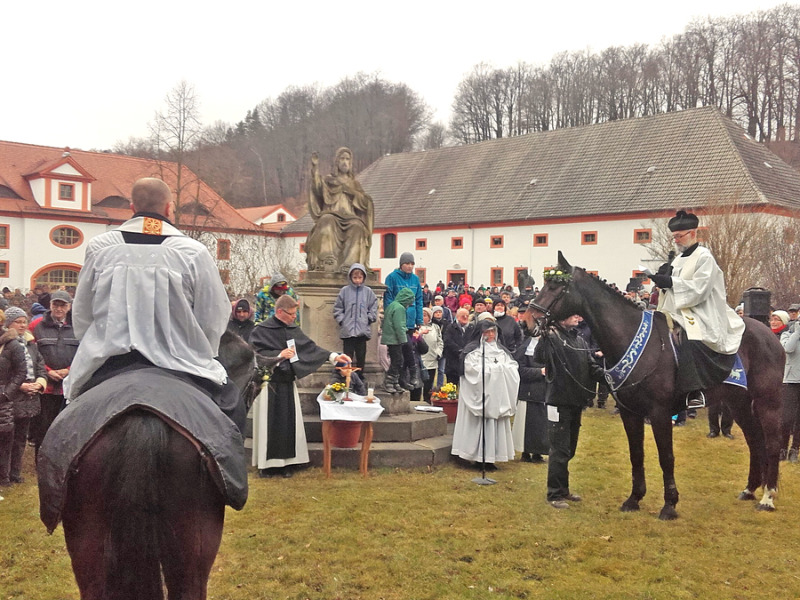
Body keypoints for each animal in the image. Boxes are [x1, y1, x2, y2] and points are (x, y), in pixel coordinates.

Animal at [528, 251, 784, 516]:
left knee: (772, 442)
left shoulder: (660, 412)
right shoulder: (630, 412)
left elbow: (666, 457)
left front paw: (669, 505)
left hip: (767, 400)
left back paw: (768, 496)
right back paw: (750, 489)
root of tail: (768, 333)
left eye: (556, 286)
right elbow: (636, 455)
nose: (529, 319)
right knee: (754, 439)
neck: (631, 337)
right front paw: (634, 499)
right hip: (738, 402)